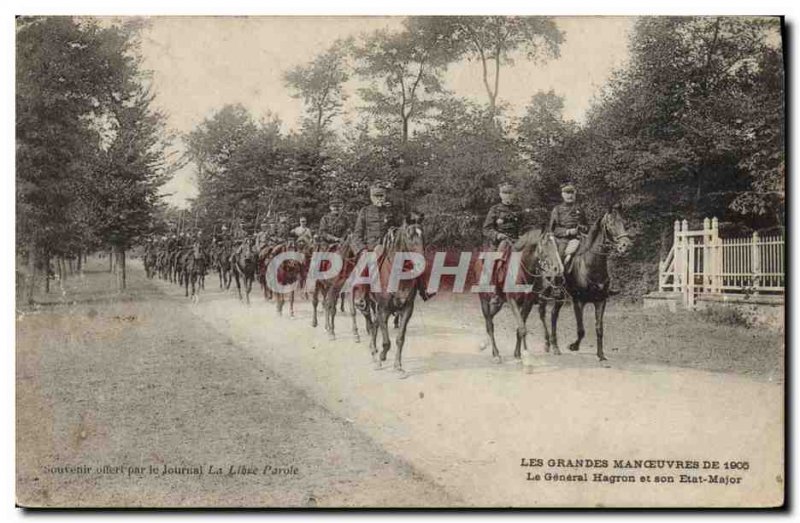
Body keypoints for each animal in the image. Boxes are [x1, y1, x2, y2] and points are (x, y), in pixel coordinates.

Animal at [476, 229, 556, 364]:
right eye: (546, 245)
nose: (556, 268)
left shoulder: (528, 302)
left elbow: (520, 327)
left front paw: (518, 354)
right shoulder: (512, 300)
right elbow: (522, 328)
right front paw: (526, 357)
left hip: (499, 303)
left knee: (490, 319)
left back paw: (486, 346)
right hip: (484, 299)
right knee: (490, 324)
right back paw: (496, 354)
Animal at [536, 207, 632, 362]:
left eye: (623, 223)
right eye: (611, 224)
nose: (626, 246)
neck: (591, 265)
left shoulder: (601, 301)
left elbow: (599, 328)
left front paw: (601, 355)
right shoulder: (578, 301)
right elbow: (581, 330)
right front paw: (573, 346)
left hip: (560, 297)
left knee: (553, 314)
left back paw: (554, 344)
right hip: (545, 292)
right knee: (542, 312)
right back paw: (547, 344)